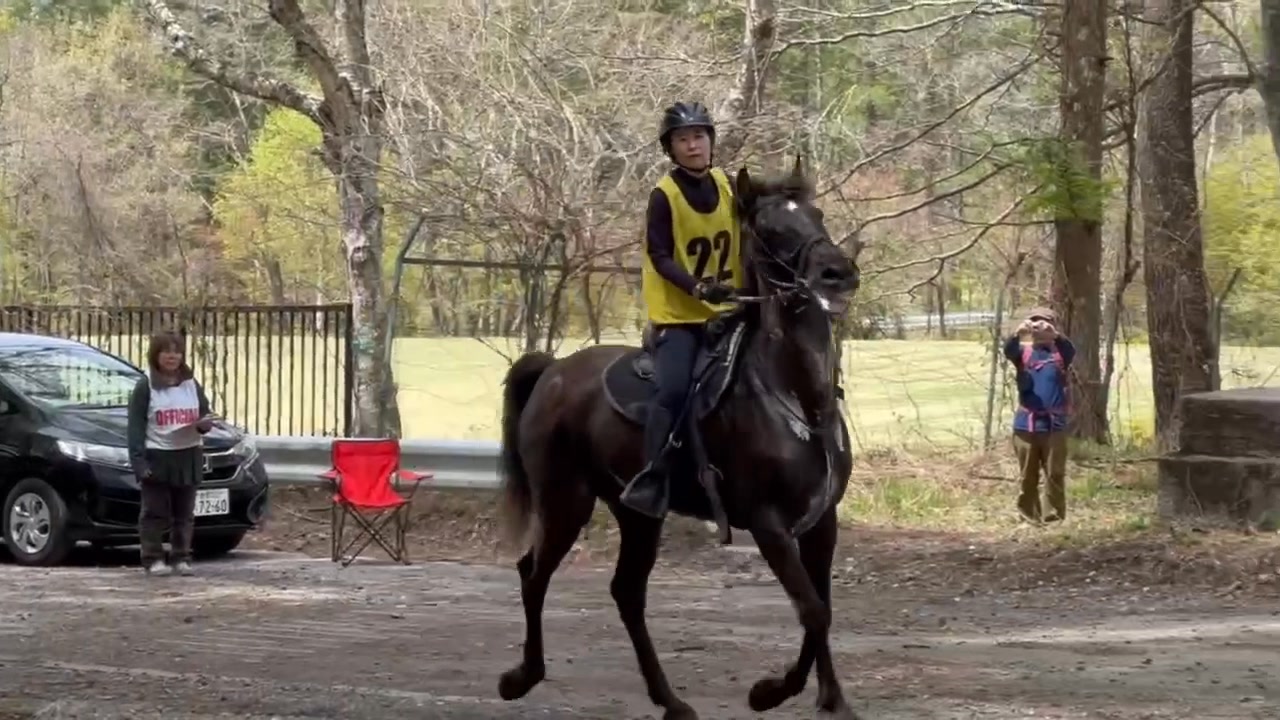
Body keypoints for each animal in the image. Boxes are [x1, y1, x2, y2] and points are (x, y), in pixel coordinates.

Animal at [494, 157, 863, 720]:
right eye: (771, 229)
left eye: (817, 215)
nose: (838, 273)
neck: (797, 395)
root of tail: (554, 371)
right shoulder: (769, 524)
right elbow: (812, 611)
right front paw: (774, 692)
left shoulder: (822, 523)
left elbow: (820, 608)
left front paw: (820, 695)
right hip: (564, 501)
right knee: (533, 574)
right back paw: (521, 677)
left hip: (637, 514)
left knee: (626, 593)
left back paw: (670, 700)